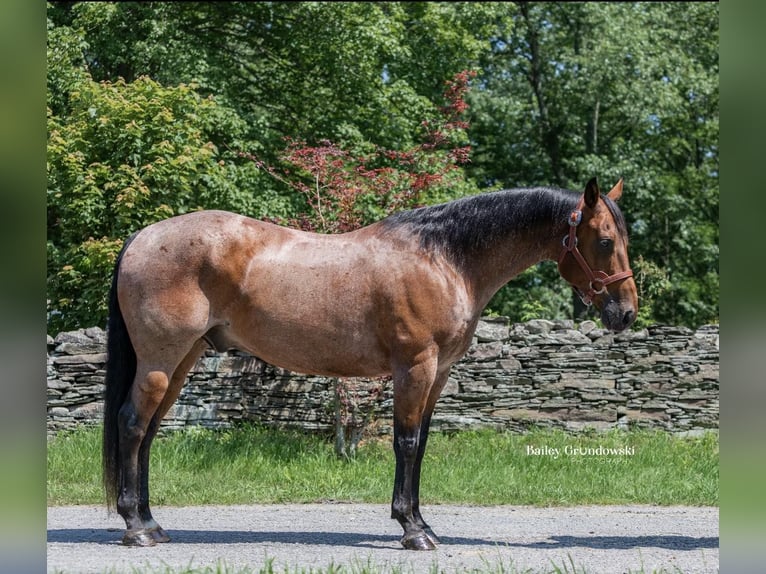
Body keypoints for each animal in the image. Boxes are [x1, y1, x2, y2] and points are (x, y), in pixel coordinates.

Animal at [103, 177, 640, 552]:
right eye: (605, 240)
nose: (627, 313)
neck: (444, 259)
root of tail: (141, 238)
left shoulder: (438, 374)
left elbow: (420, 445)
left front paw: (422, 522)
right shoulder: (415, 367)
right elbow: (406, 444)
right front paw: (412, 530)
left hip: (183, 360)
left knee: (148, 432)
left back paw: (152, 522)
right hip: (160, 359)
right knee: (132, 425)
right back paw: (135, 527)